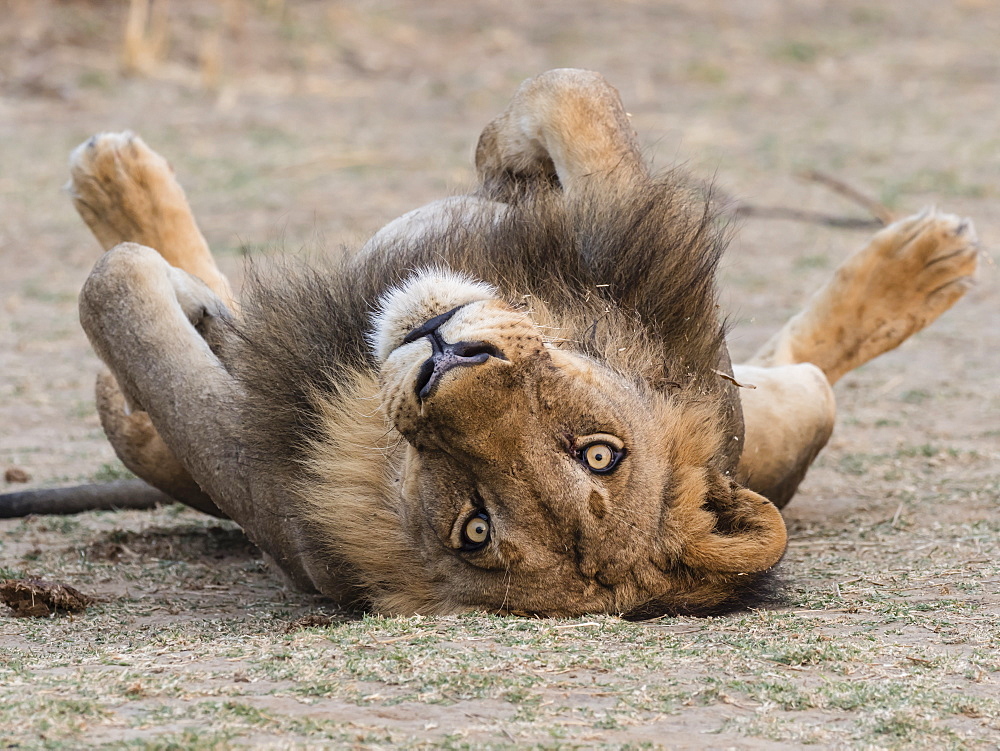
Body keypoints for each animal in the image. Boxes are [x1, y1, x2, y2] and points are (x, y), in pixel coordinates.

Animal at [54, 69, 976, 616]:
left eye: (476, 528)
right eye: (600, 452)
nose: (444, 359)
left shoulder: (262, 481)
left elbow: (115, 290)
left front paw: (155, 266)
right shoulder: (615, 241)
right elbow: (577, 96)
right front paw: (506, 162)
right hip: (776, 412)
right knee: (791, 366)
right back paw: (927, 255)